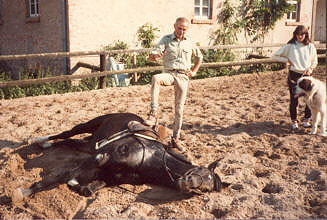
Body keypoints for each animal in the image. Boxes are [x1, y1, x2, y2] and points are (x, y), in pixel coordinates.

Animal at [12, 113, 223, 203]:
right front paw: (23, 193)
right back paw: (39, 140)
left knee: (69, 142)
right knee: (66, 134)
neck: (151, 159)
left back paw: (45, 145)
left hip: (88, 145)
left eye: (206, 189)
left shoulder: (110, 176)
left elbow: (88, 189)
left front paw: (76, 184)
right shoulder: (100, 158)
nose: (186, 184)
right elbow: (60, 176)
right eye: (201, 172)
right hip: (89, 125)